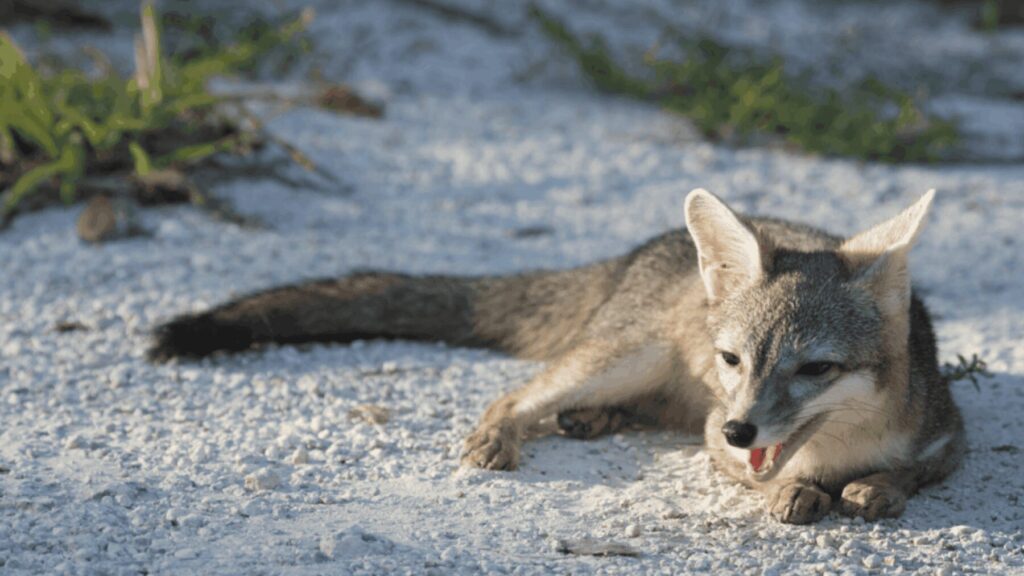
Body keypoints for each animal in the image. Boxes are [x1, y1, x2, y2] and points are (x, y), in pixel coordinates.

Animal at [148, 188, 964, 524]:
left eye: (815, 369)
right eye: (733, 360)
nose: (742, 428)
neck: (838, 450)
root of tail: (642, 250)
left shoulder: (949, 435)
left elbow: (913, 472)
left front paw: (876, 488)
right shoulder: (712, 435)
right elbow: (763, 476)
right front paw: (796, 490)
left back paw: (595, 420)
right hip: (622, 357)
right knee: (518, 395)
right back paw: (510, 432)